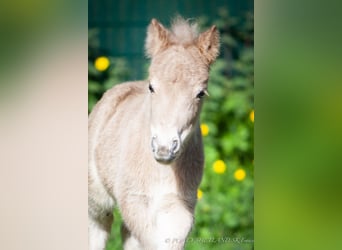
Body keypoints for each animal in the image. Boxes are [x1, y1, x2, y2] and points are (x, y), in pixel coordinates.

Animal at [88, 18, 220, 250]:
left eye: (200, 93)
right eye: (151, 87)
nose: (164, 148)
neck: (161, 171)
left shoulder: (179, 205)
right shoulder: (134, 200)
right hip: (97, 199)